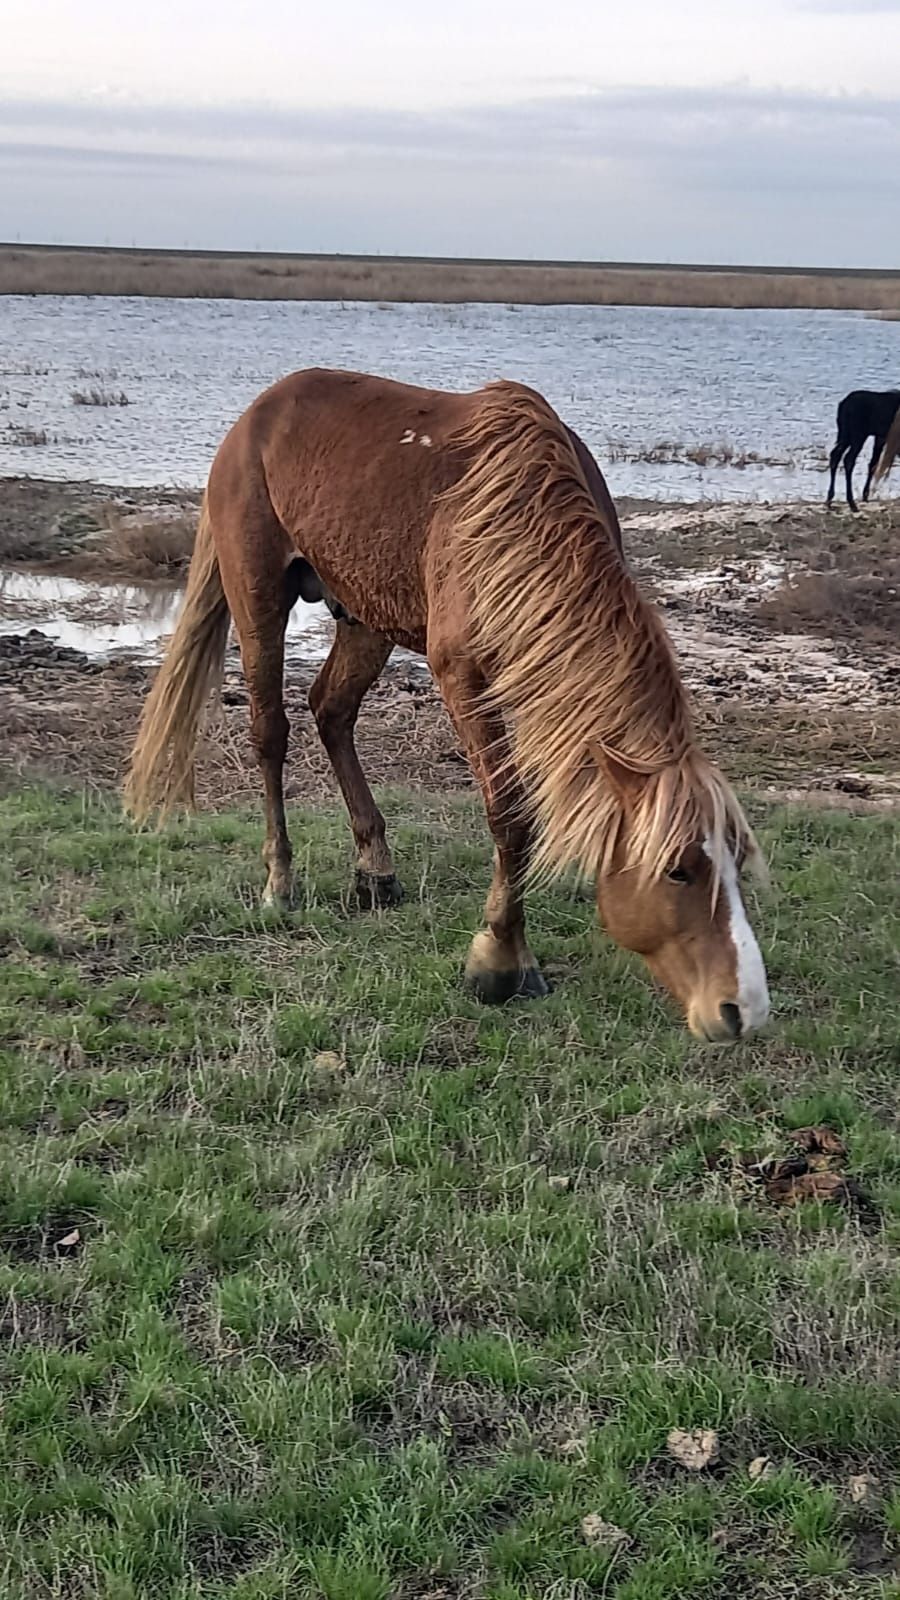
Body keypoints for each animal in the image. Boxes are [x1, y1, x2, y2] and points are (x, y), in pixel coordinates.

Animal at [126, 374, 768, 1049]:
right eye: (677, 871)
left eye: (737, 862)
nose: (742, 1008)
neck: (522, 514)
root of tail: (260, 410)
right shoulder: (464, 677)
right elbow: (510, 815)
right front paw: (501, 961)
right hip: (259, 599)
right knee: (270, 733)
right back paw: (281, 884)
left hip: (364, 616)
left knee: (332, 711)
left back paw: (375, 871)